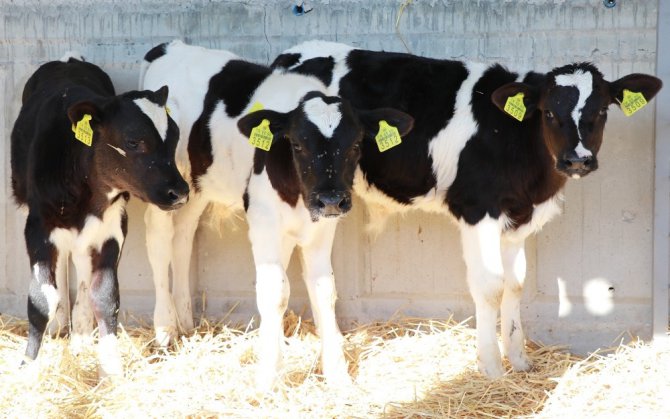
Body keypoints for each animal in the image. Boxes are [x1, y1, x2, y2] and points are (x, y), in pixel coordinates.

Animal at [10, 53, 190, 378]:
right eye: (133, 141)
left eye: (175, 137)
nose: (180, 192)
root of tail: (68, 60)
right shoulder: (38, 228)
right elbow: (41, 299)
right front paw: (28, 364)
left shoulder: (111, 230)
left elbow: (106, 297)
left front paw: (111, 369)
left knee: (82, 272)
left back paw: (80, 337)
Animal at [139, 41, 412, 392]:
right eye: (297, 144)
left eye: (355, 145)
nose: (331, 198)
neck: (296, 193)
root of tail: (170, 46)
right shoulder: (263, 221)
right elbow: (275, 291)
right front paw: (269, 374)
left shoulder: (321, 228)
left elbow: (324, 290)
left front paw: (336, 373)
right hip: (163, 184)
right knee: (159, 240)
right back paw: (165, 332)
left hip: (195, 186)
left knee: (183, 236)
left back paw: (184, 320)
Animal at [274, 41, 668, 378]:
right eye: (548, 112)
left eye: (601, 110)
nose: (578, 160)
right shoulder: (477, 209)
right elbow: (491, 286)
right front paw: (491, 368)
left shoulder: (518, 215)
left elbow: (516, 283)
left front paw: (518, 359)